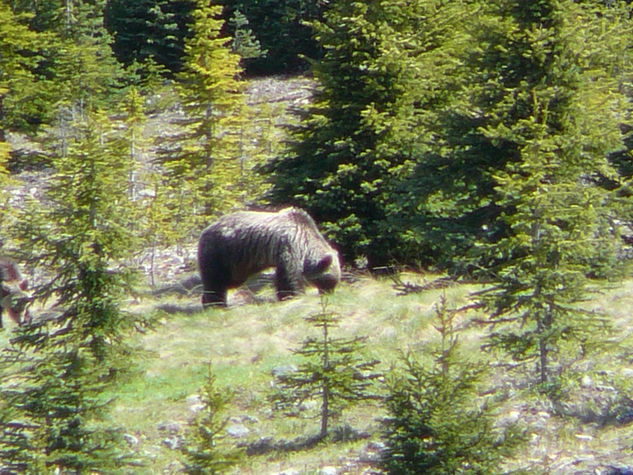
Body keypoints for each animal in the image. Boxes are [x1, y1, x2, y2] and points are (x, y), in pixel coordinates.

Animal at [199, 209, 340, 308]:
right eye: (330, 280)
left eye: (335, 281)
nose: (329, 293)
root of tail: (204, 231)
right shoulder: (289, 245)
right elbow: (290, 275)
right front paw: (294, 294)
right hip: (220, 252)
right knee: (215, 279)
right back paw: (216, 304)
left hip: (236, 264)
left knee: (227, 281)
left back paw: (207, 301)